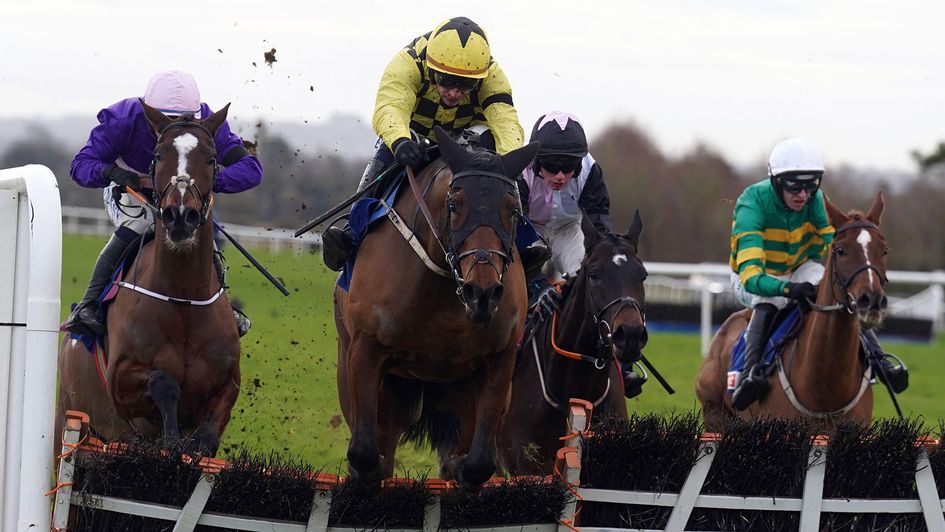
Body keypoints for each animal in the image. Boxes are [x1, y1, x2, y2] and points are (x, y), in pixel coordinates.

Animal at [334, 124, 540, 490]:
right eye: (455, 205)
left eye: (513, 210)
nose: (482, 292)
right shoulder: (365, 354)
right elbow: (365, 458)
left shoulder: (499, 363)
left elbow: (475, 466)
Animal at [696, 193, 888, 434]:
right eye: (840, 250)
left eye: (884, 250)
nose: (871, 301)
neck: (825, 388)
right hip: (715, 416)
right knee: (767, 302)